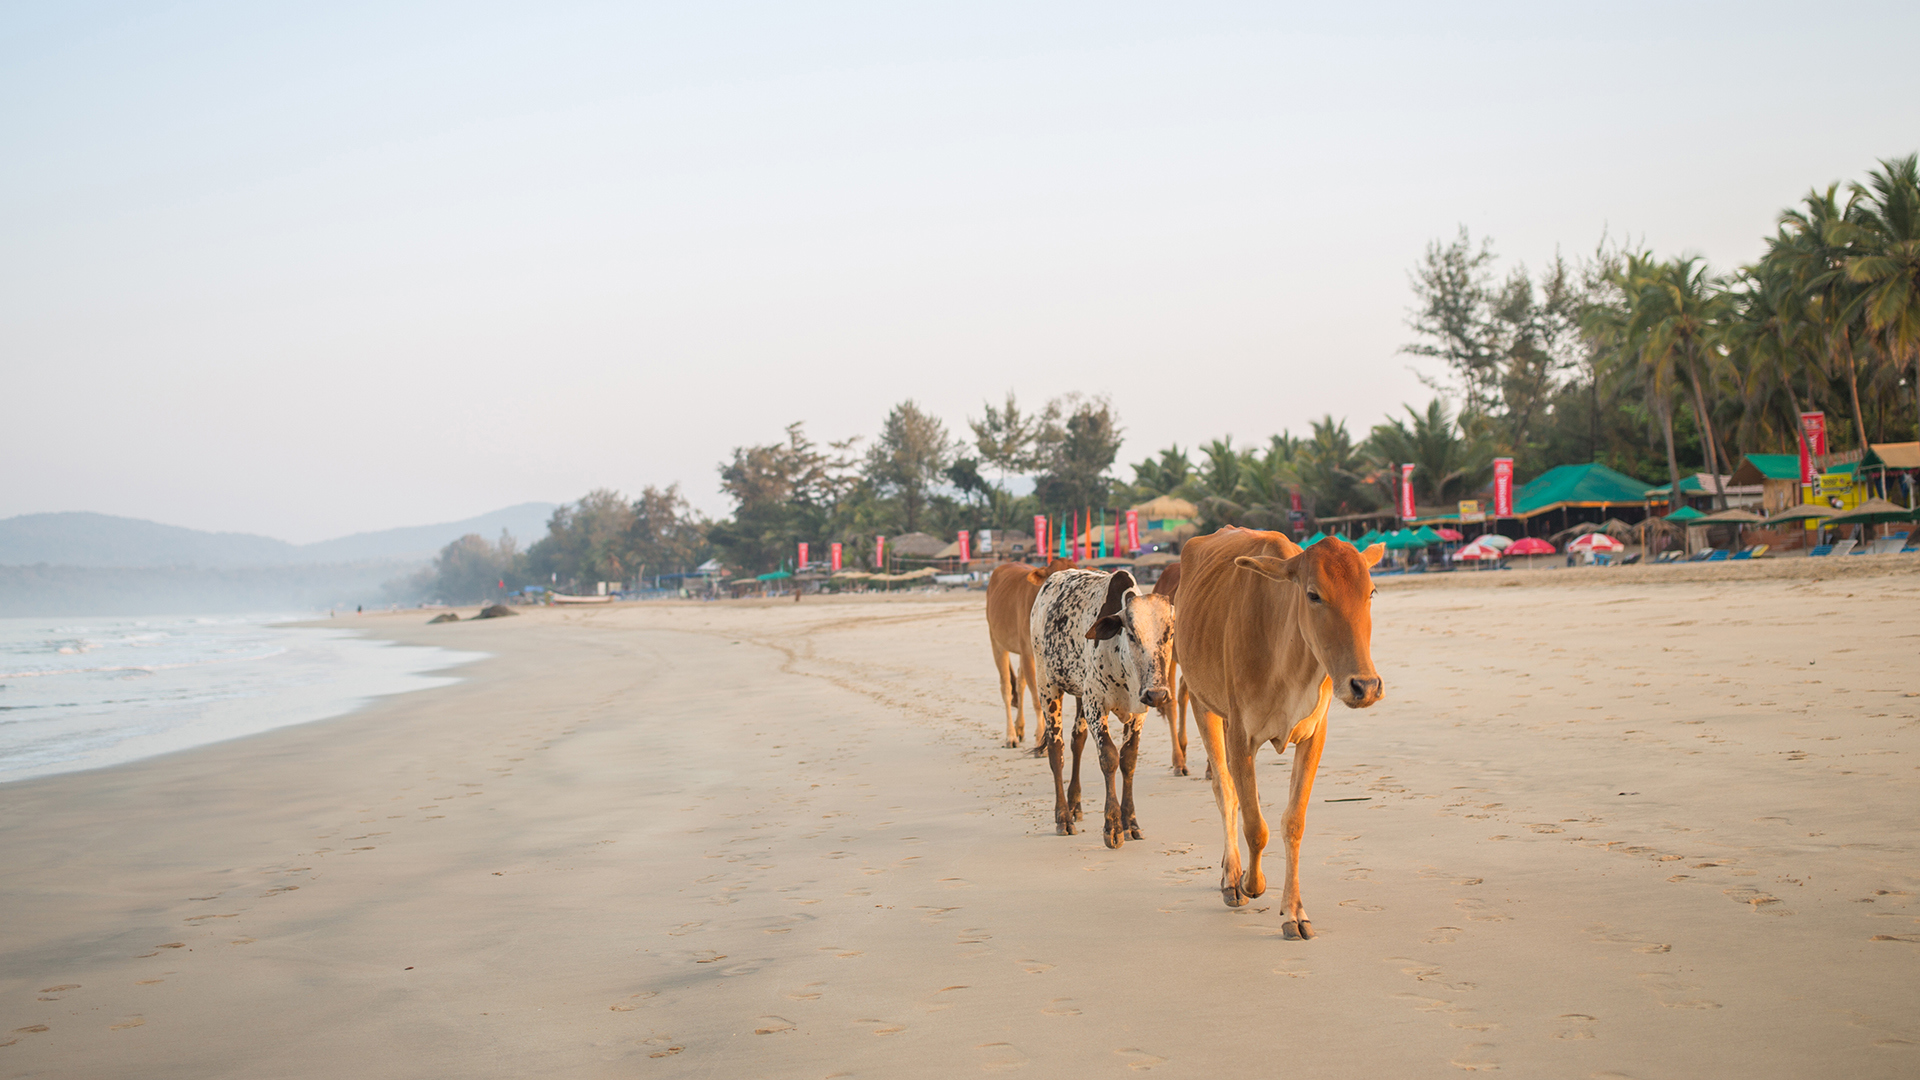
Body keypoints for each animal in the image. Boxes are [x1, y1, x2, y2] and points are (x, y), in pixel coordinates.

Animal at [985, 558, 1076, 748]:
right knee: (1006, 687)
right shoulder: (1028, 653)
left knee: (1020, 684)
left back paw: (1020, 728)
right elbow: (1038, 700)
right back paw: (1011, 736)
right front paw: (1042, 741)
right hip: (997, 641)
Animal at [1028, 567, 1176, 848]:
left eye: (1169, 634)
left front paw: (1131, 823)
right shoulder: (1096, 703)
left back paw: (1075, 805)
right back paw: (1063, 817)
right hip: (1047, 685)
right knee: (1056, 749)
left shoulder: (1139, 711)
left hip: (1079, 693)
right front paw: (1113, 826)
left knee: (1077, 740)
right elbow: (1109, 757)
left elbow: (1128, 759)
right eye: (1132, 634)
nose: (1157, 694)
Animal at [1176, 528, 1384, 939]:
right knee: (1224, 789)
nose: (1365, 686)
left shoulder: (1314, 734)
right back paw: (1232, 877)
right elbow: (1255, 826)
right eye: (1313, 594)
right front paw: (1249, 883)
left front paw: (1294, 913)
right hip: (1203, 704)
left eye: (1370, 592)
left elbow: (1293, 821)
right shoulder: (1241, 735)